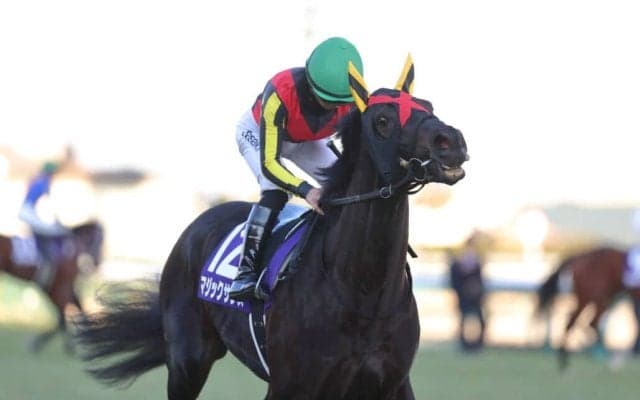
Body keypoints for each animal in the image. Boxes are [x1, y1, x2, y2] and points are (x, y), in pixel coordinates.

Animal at [0, 220, 104, 352]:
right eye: (100, 239)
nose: (97, 263)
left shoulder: (58, 287)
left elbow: (68, 311)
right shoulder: (59, 287)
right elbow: (64, 314)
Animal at [72, 56, 468, 400]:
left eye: (428, 105)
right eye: (383, 120)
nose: (451, 142)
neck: (362, 292)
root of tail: (198, 225)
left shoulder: (391, 383)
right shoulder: (291, 386)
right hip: (188, 360)